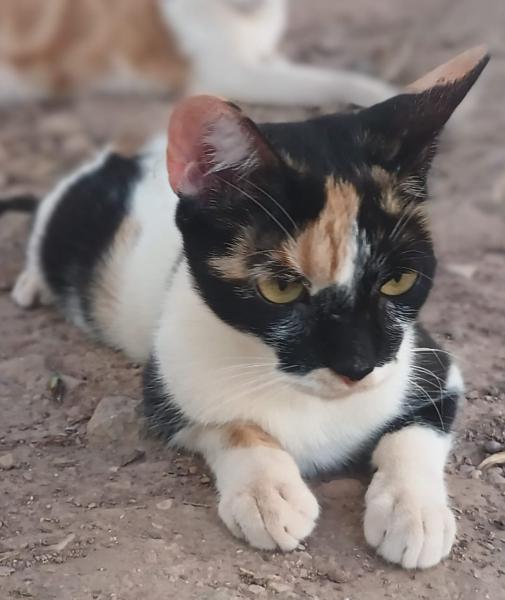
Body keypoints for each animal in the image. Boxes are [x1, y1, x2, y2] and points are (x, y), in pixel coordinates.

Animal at [6, 46, 489, 569]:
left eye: (399, 281)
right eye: (280, 289)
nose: (357, 366)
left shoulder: (428, 362)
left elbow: (415, 433)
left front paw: (412, 511)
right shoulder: (164, 383)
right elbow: (230, 423)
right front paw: (268, 493)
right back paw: (31, 282)